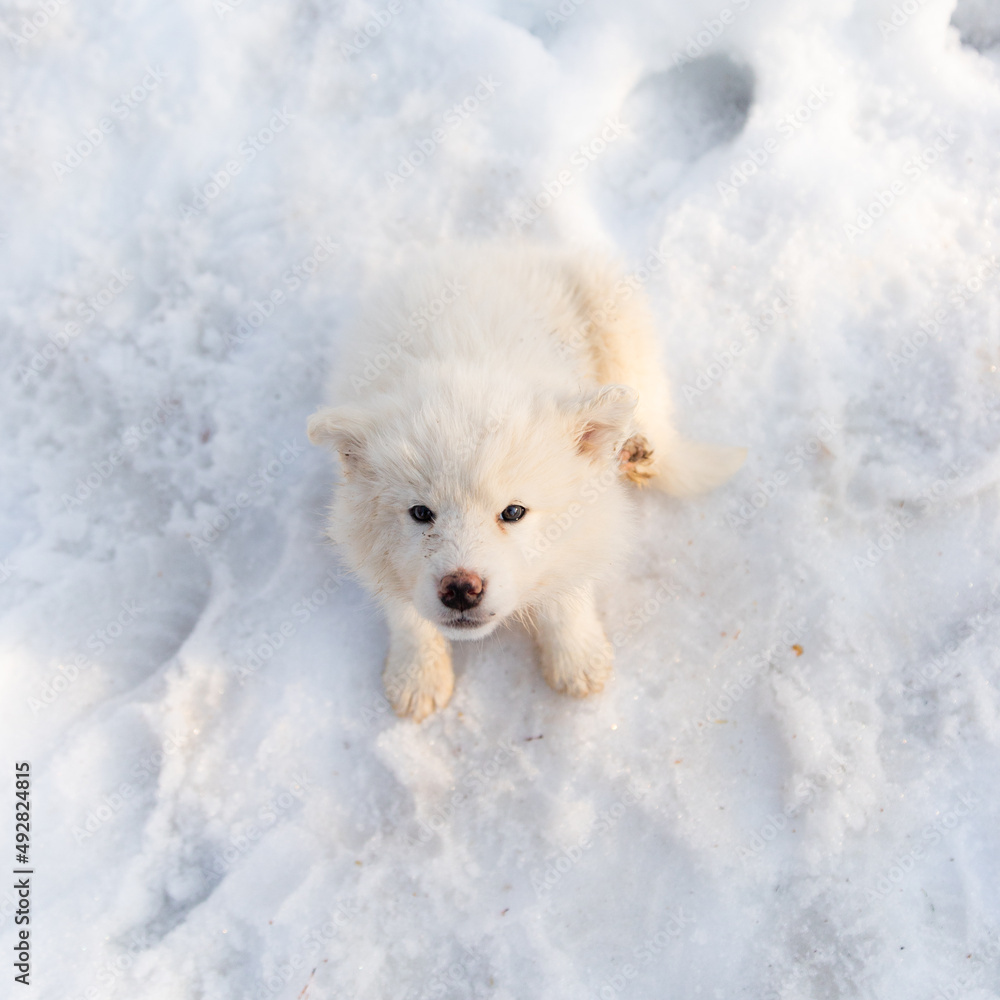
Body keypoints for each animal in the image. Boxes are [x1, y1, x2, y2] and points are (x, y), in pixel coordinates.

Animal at [308, 246, 748, 724]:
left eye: (513, 512)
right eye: (421, 513)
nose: (461, 589)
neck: (467, 367)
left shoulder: (588, 521)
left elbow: (568, 588)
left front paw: (577, 660)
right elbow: (405, 610)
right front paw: (417, 676)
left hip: (620, 330)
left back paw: (635, 449)